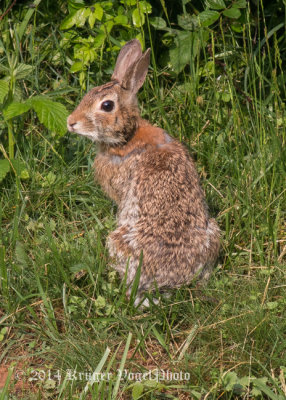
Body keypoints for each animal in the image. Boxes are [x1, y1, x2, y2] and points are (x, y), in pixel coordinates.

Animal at [68, 39, 220, 304]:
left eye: (106, 105)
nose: (70, 122)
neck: (127, 136)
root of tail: (167, 278)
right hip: (213, 232)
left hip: (118, 240)